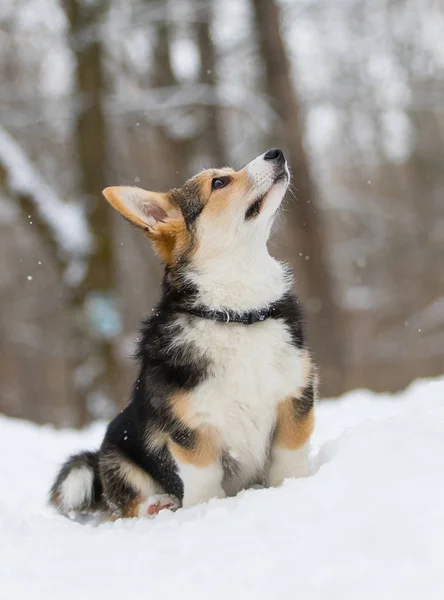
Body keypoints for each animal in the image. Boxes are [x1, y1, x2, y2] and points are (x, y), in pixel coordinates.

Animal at [50, 148, 318, 516]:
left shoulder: (293, 399)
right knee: (124, 502)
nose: (276, 152)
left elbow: (289, 456)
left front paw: (291, 487)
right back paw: (156, 505)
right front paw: (205, 510)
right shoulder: (190, 430)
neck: (235, 314)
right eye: (219, 182)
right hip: (116, 448)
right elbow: (204, 478)